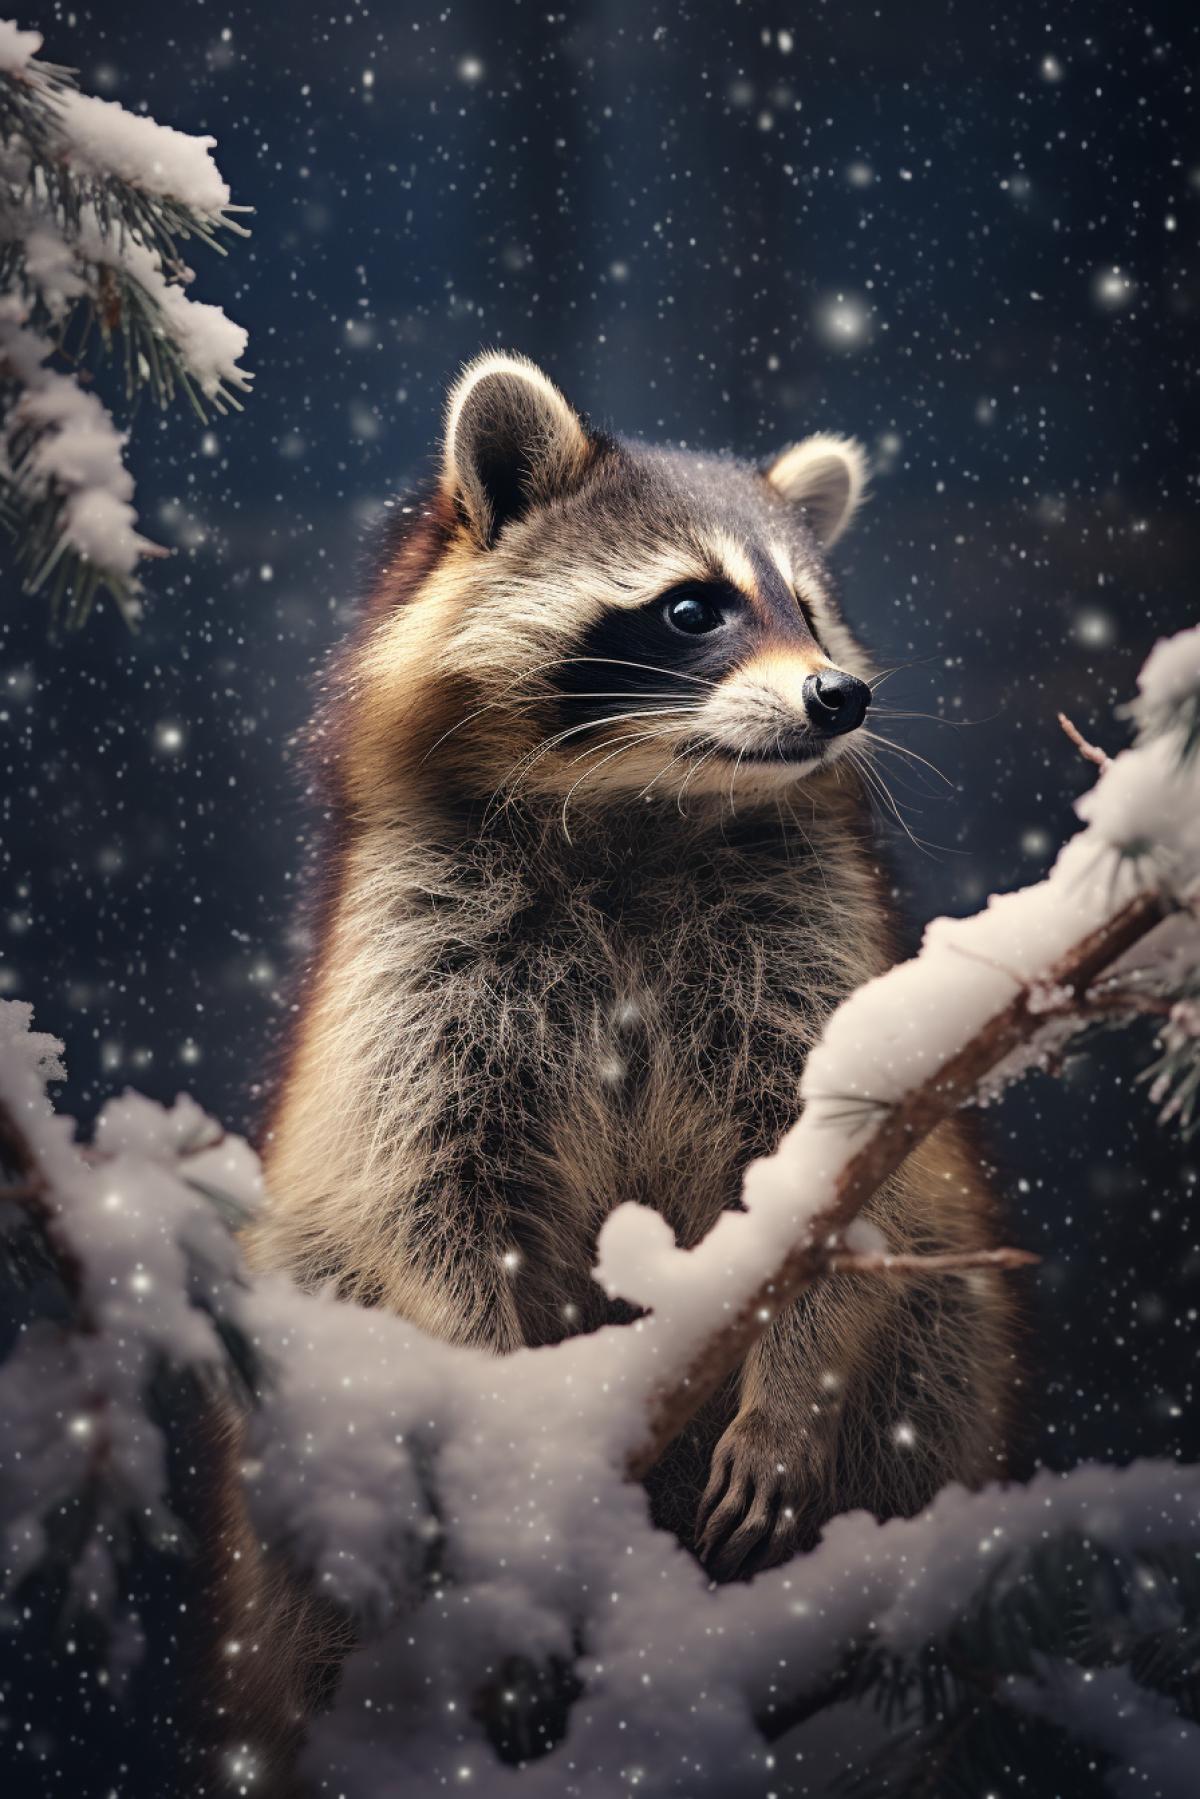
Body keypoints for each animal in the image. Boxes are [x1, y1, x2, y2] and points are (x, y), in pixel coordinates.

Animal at [245, 351, 1016, 1581]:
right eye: (692, 608)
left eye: (811, 612)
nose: (842, 696)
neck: (641, 808)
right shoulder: (419, 963)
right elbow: (418, 1190)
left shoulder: (806, 950)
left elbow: (859, 1195)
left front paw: (791, 1396)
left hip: (942, 1360)